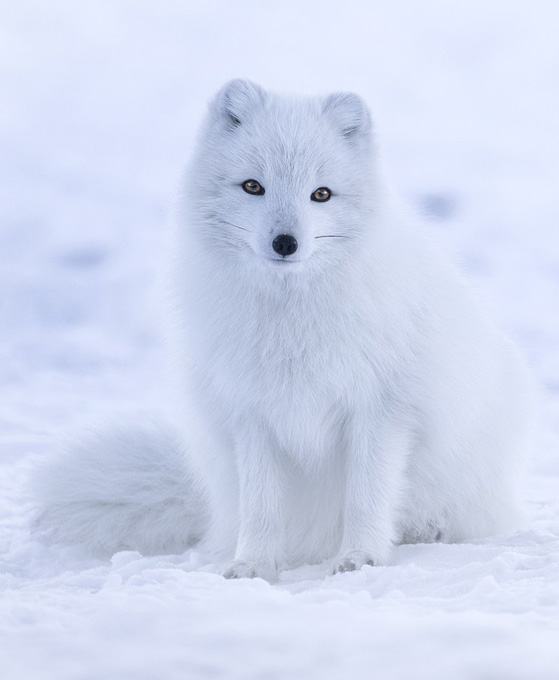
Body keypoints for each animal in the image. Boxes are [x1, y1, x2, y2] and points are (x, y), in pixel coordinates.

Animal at [34, 79, 528, 580]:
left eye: (321, 194)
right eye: (253, 186)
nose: (285, 243)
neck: (290, 319)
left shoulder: (381, 409)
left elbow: (366, 497)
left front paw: (360, 557)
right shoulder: (251, 413)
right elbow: (261, 506)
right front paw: (252, 564)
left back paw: (426, 530)